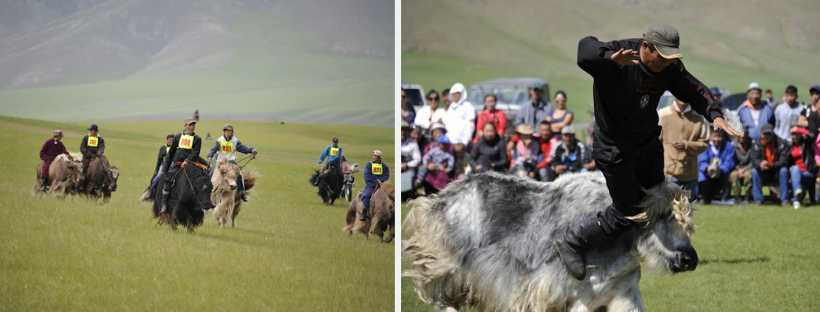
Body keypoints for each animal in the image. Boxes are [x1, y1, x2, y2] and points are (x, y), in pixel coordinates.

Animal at [400, 171, 696, 312]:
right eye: (664, 216)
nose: (689, 260)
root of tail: (443, 196)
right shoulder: (563, 297)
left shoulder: (622, 295)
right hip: (446, 264)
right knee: (440, 297)